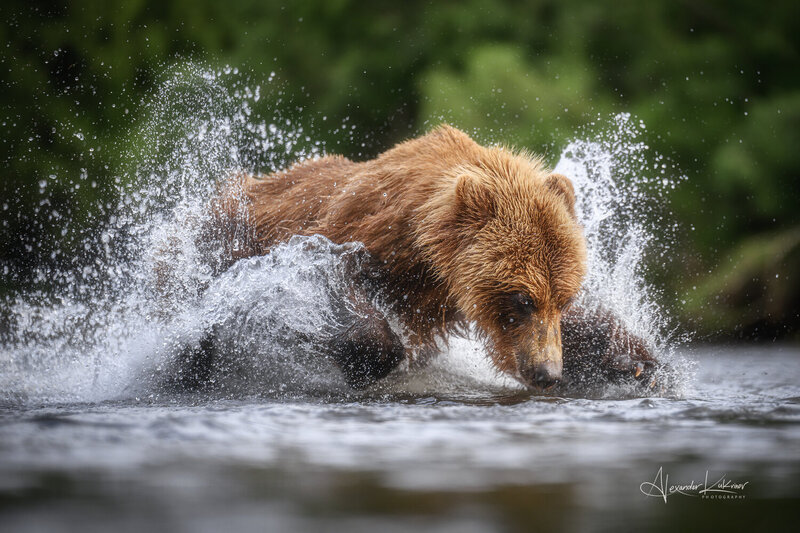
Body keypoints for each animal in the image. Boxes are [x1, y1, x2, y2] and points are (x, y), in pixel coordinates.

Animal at [196, 125, 658, 390]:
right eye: (521, 298)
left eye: (563, 298)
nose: (547, 373)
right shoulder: (359, 234)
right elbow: (323, 279)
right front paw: (370, 358)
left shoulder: (450, 292)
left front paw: (632, 361)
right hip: (218, 249)